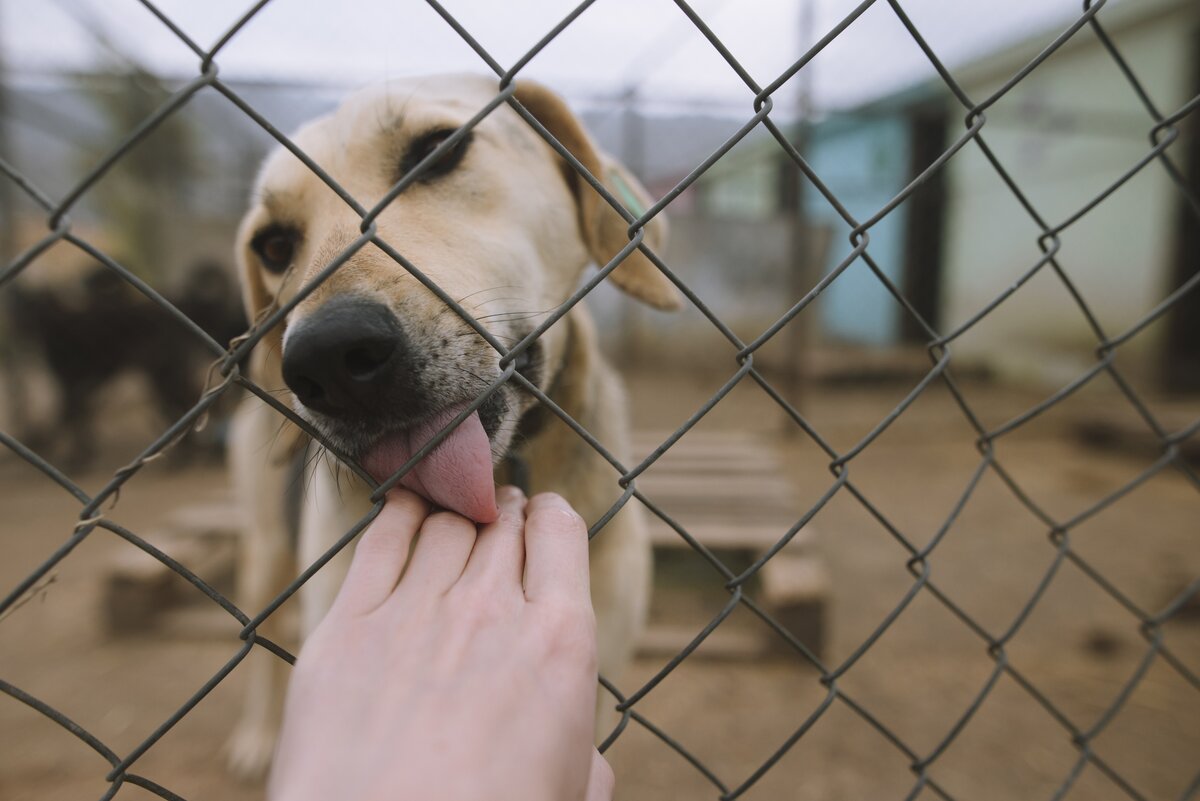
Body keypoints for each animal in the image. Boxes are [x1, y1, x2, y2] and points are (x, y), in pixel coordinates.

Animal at [3, 260, 248, 470]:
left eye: (33, 304)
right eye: (16, 303)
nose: (17, 324)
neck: (56, 324)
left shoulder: (69, 381)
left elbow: (71, 416)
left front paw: (76, 458)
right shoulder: (79, 384)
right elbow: (78, 415)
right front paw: (81, 453)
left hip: (162, 374)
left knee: (181, 404)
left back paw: (187, 456)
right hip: (166, 375)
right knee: (185, 403)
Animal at [222, 74, 681, 777]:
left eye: (440, 151)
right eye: (274, 245)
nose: (327, 358)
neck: (505, 469)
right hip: (268, 540)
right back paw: (256, 735)